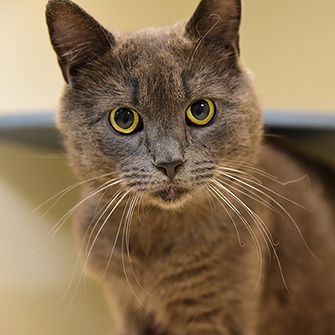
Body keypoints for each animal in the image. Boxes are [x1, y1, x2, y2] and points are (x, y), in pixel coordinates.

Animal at [46, 0, 335, 334]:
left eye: (200, 110)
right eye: (123, 118)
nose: (169, 162)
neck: (155, 243)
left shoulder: (218, 311)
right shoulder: (126, 306)